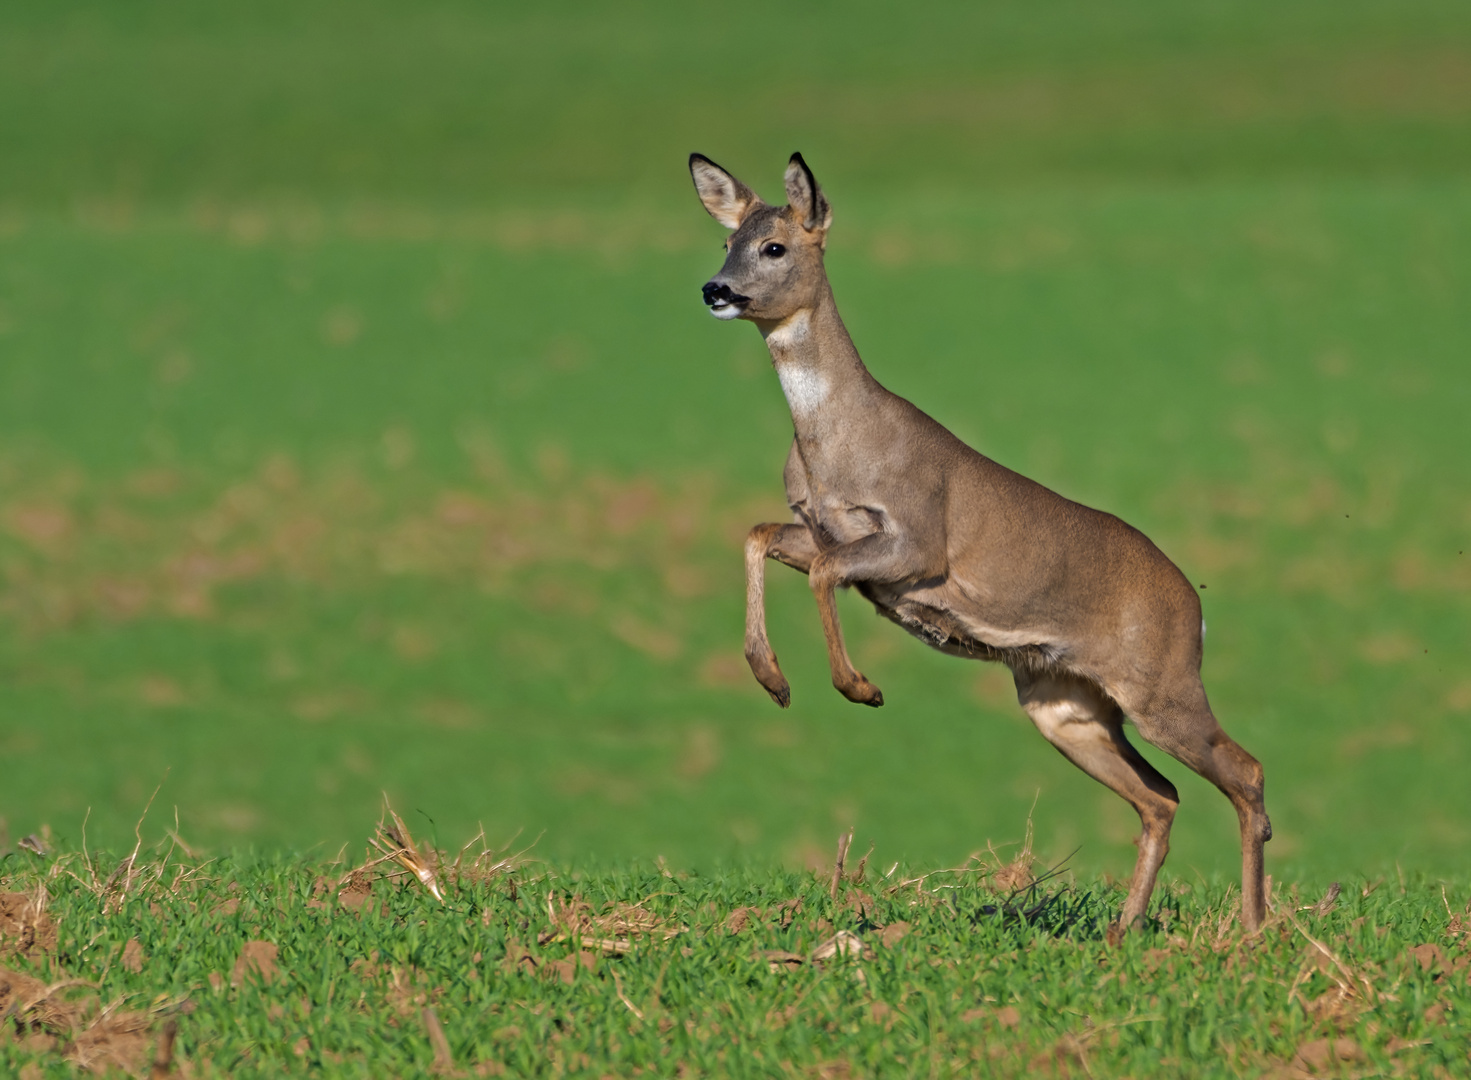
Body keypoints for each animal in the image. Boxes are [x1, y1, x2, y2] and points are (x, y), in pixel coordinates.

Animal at [682, 154, 1270, 941]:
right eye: (727, 241)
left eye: (774, 246)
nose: (716, 289)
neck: (836, 441)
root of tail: (1193, 609)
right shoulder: (819, 529)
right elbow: (759, 538)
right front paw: (773, 681)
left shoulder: (916, 543)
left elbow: (824, 574)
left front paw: (859, 687)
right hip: (1065, 704)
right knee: (1161, 796)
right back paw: (1125, 929)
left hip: (1161, 686)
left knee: (1244, 772)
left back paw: (1255, 929)